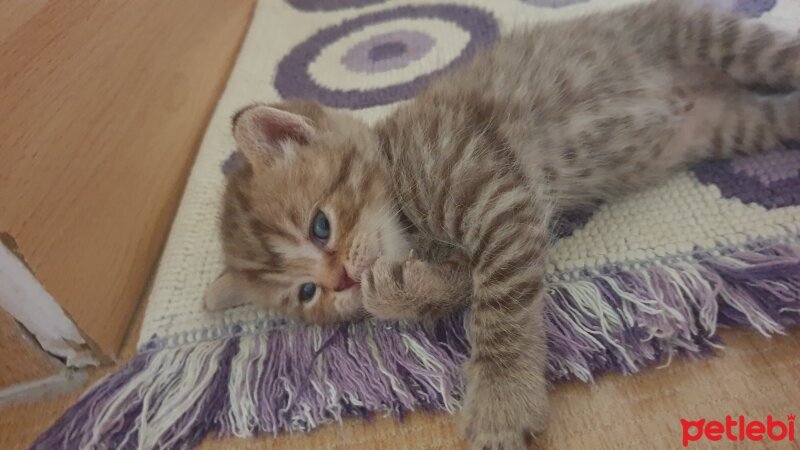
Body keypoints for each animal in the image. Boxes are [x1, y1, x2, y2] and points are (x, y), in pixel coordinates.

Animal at [206, 1, 800, 448]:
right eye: (307, 293)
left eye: (320, 228)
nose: (340, 281)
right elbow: (463, 281)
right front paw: (405, 291)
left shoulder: (497, 195)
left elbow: (499, 302)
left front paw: (502, 395)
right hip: (736, 125)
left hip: (711, 38)